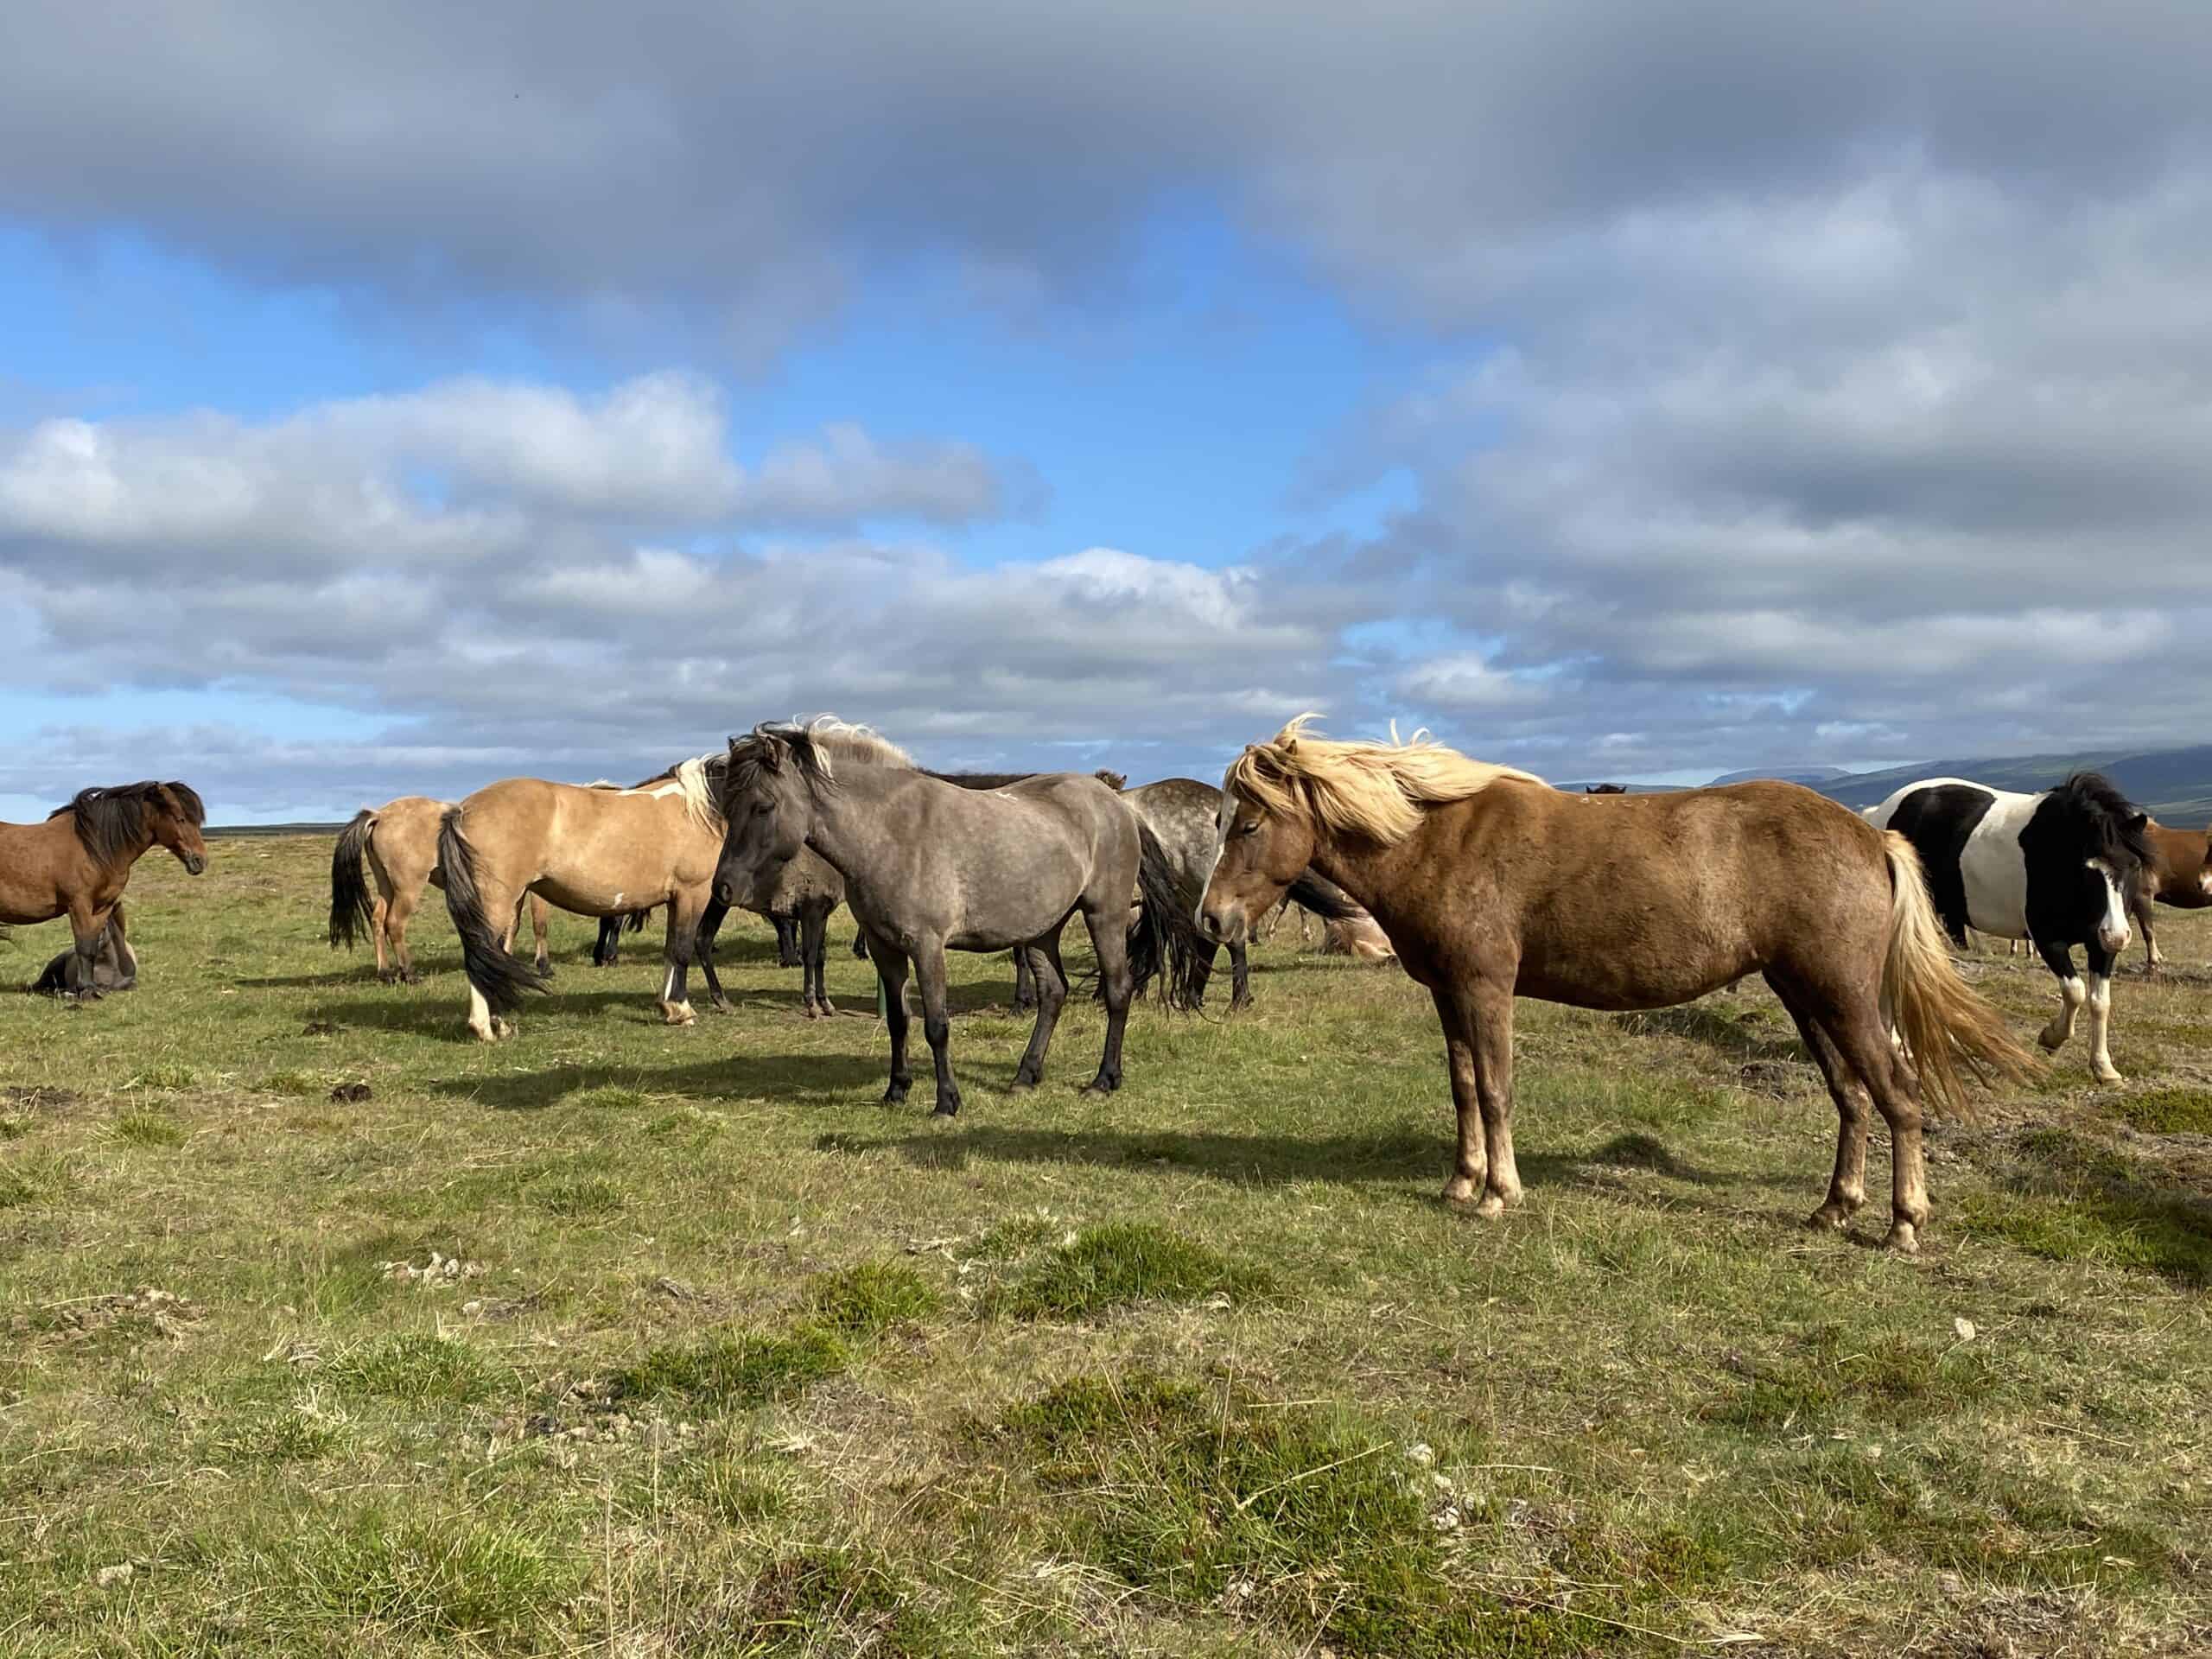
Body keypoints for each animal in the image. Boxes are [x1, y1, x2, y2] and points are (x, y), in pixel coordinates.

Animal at [0, 782, 207, 1000]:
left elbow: (90, 947)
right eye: (180, 818)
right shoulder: (79, 905)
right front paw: (84, 991)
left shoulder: (102, 908)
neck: (94, 848)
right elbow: (83, 947)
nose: (200, 860)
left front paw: (90, 989)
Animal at [330, 798, 555, 983]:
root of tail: (380, 815)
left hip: (386, 885)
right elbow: (539, 924)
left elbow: (512, 925)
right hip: (407, 889)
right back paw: (409, 973)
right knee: (394, 924)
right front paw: (544, 966)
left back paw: (385, 973)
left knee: (377, 920)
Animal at [713, 720, 1207, 1113]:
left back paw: (1104, 1080)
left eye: (763, 806)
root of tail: (1117, 804)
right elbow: (899, 1021)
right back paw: (1025, 1077)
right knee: (1053, 993)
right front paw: (896, 1092)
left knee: (1118, 991)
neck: (891, 831)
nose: (724, 888)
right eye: (728, 806)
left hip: (1104, 915)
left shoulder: (927, 947)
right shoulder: (883, 947)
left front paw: (946, 1102)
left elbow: (936, 1025)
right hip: (1043, 930)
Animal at [1199, 718, 2035, 1252]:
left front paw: (1500, 1192)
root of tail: (1871, 834)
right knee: (1852, 1096)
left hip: (1843, 995)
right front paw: (1462, 1183)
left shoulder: (1484, 988)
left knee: (1898, 1093)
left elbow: (1496, 1089)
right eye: (1220, 822)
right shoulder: (1448, 993)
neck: (1437, 840)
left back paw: (1903, 1222)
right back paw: (1834, 1209)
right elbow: (1464, 1088)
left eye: (1249, 824)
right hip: (1805, 996)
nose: (1212, 918)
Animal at [1867, 774, 2151, 1084]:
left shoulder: (2099, 946)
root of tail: (1881, 813)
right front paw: (2051, 1038)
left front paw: (2104, 1068)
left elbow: (2100, 1002)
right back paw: (1897, 1043)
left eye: (2135, 866)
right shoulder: (2048, 939)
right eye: (2088, 870)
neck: (2059, 849)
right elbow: (2074, 991)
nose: (2116, 936)